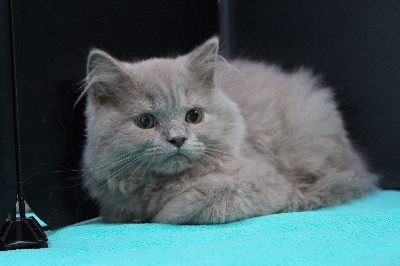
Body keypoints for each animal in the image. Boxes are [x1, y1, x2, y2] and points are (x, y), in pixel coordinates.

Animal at [80, 37, 378, 224]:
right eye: (146, 122)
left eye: (194, 116)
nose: (178, 139)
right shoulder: (114, 204)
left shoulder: (264, 182)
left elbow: (195, 200)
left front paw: (162, 212)